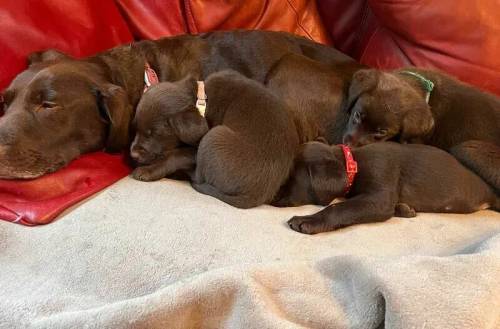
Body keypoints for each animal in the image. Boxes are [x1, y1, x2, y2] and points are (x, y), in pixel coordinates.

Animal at [131, 69, 298, 208]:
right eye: (135, 128)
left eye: (154, 133)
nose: (133, 154)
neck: (201, 100)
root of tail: (260, 194)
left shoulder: (196, 148)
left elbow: (175, 155)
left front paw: (148, 171)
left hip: (213, 137)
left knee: (198, 177)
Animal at [274, 141, 500, 233]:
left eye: (291, 177)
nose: (271, 196)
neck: (354, 163)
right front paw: (404, 209)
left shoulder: (379, 198)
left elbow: (337, 207)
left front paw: (308, 220)